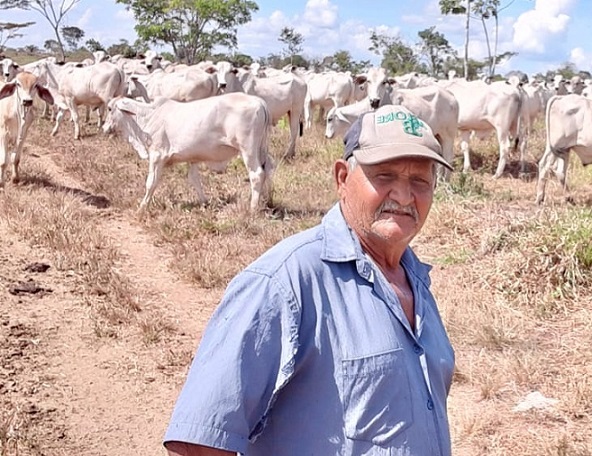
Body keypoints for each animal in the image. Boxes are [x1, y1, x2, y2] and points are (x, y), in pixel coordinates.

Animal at [103, 94, 272, 212]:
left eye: (110, 108)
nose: (104, 128)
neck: (148, 116)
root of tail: (260, 102)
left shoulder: (157, 156)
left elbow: (151, 183)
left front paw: (142, 207)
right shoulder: (193, 158)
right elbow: (194, 179)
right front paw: (205, 202)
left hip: (248, 150)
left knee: (256, 174)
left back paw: (252, 208)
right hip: (261, 150)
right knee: (267, 170)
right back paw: (265, 200)